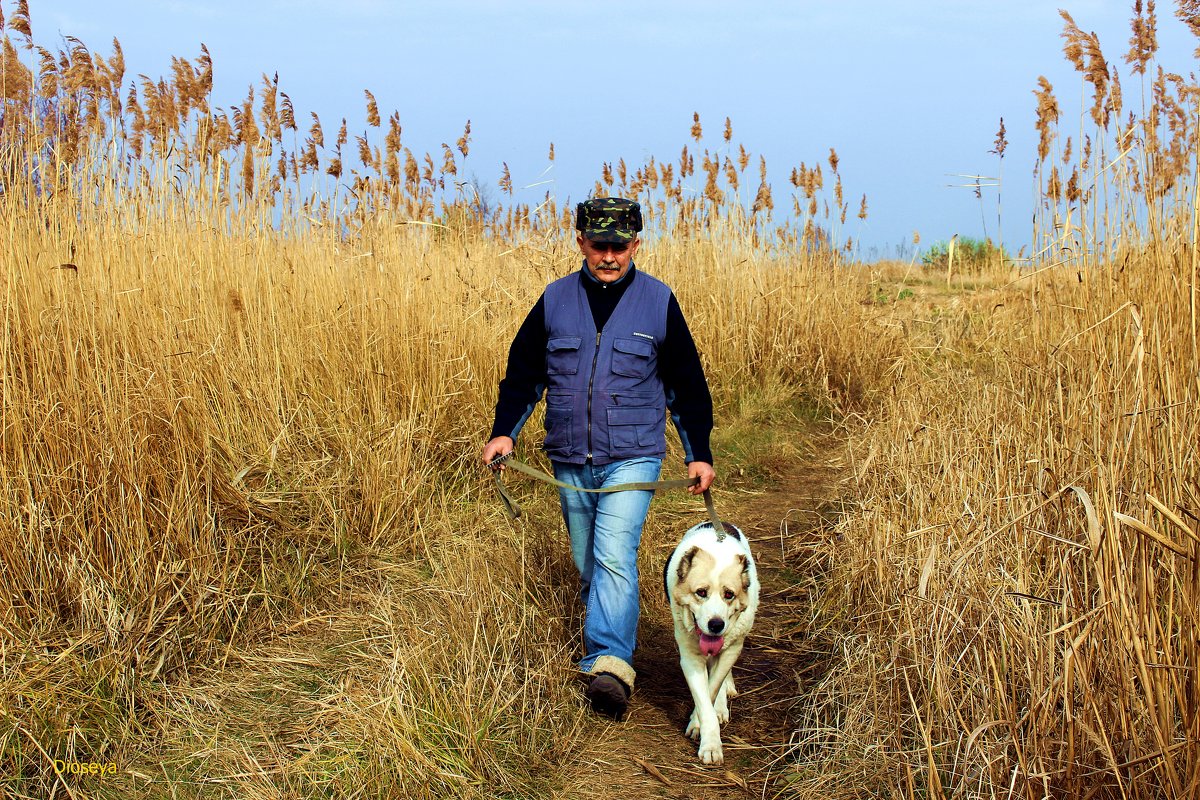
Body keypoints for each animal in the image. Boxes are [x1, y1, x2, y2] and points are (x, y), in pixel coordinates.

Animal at [667, 520, 758, 762]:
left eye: (729, 595)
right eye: (701, 592)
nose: (716, 625)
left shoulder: (731, 649)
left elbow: (713, 687)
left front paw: (700, 723)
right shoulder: (690, 657)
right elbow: (703, 698)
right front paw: (709, 742)